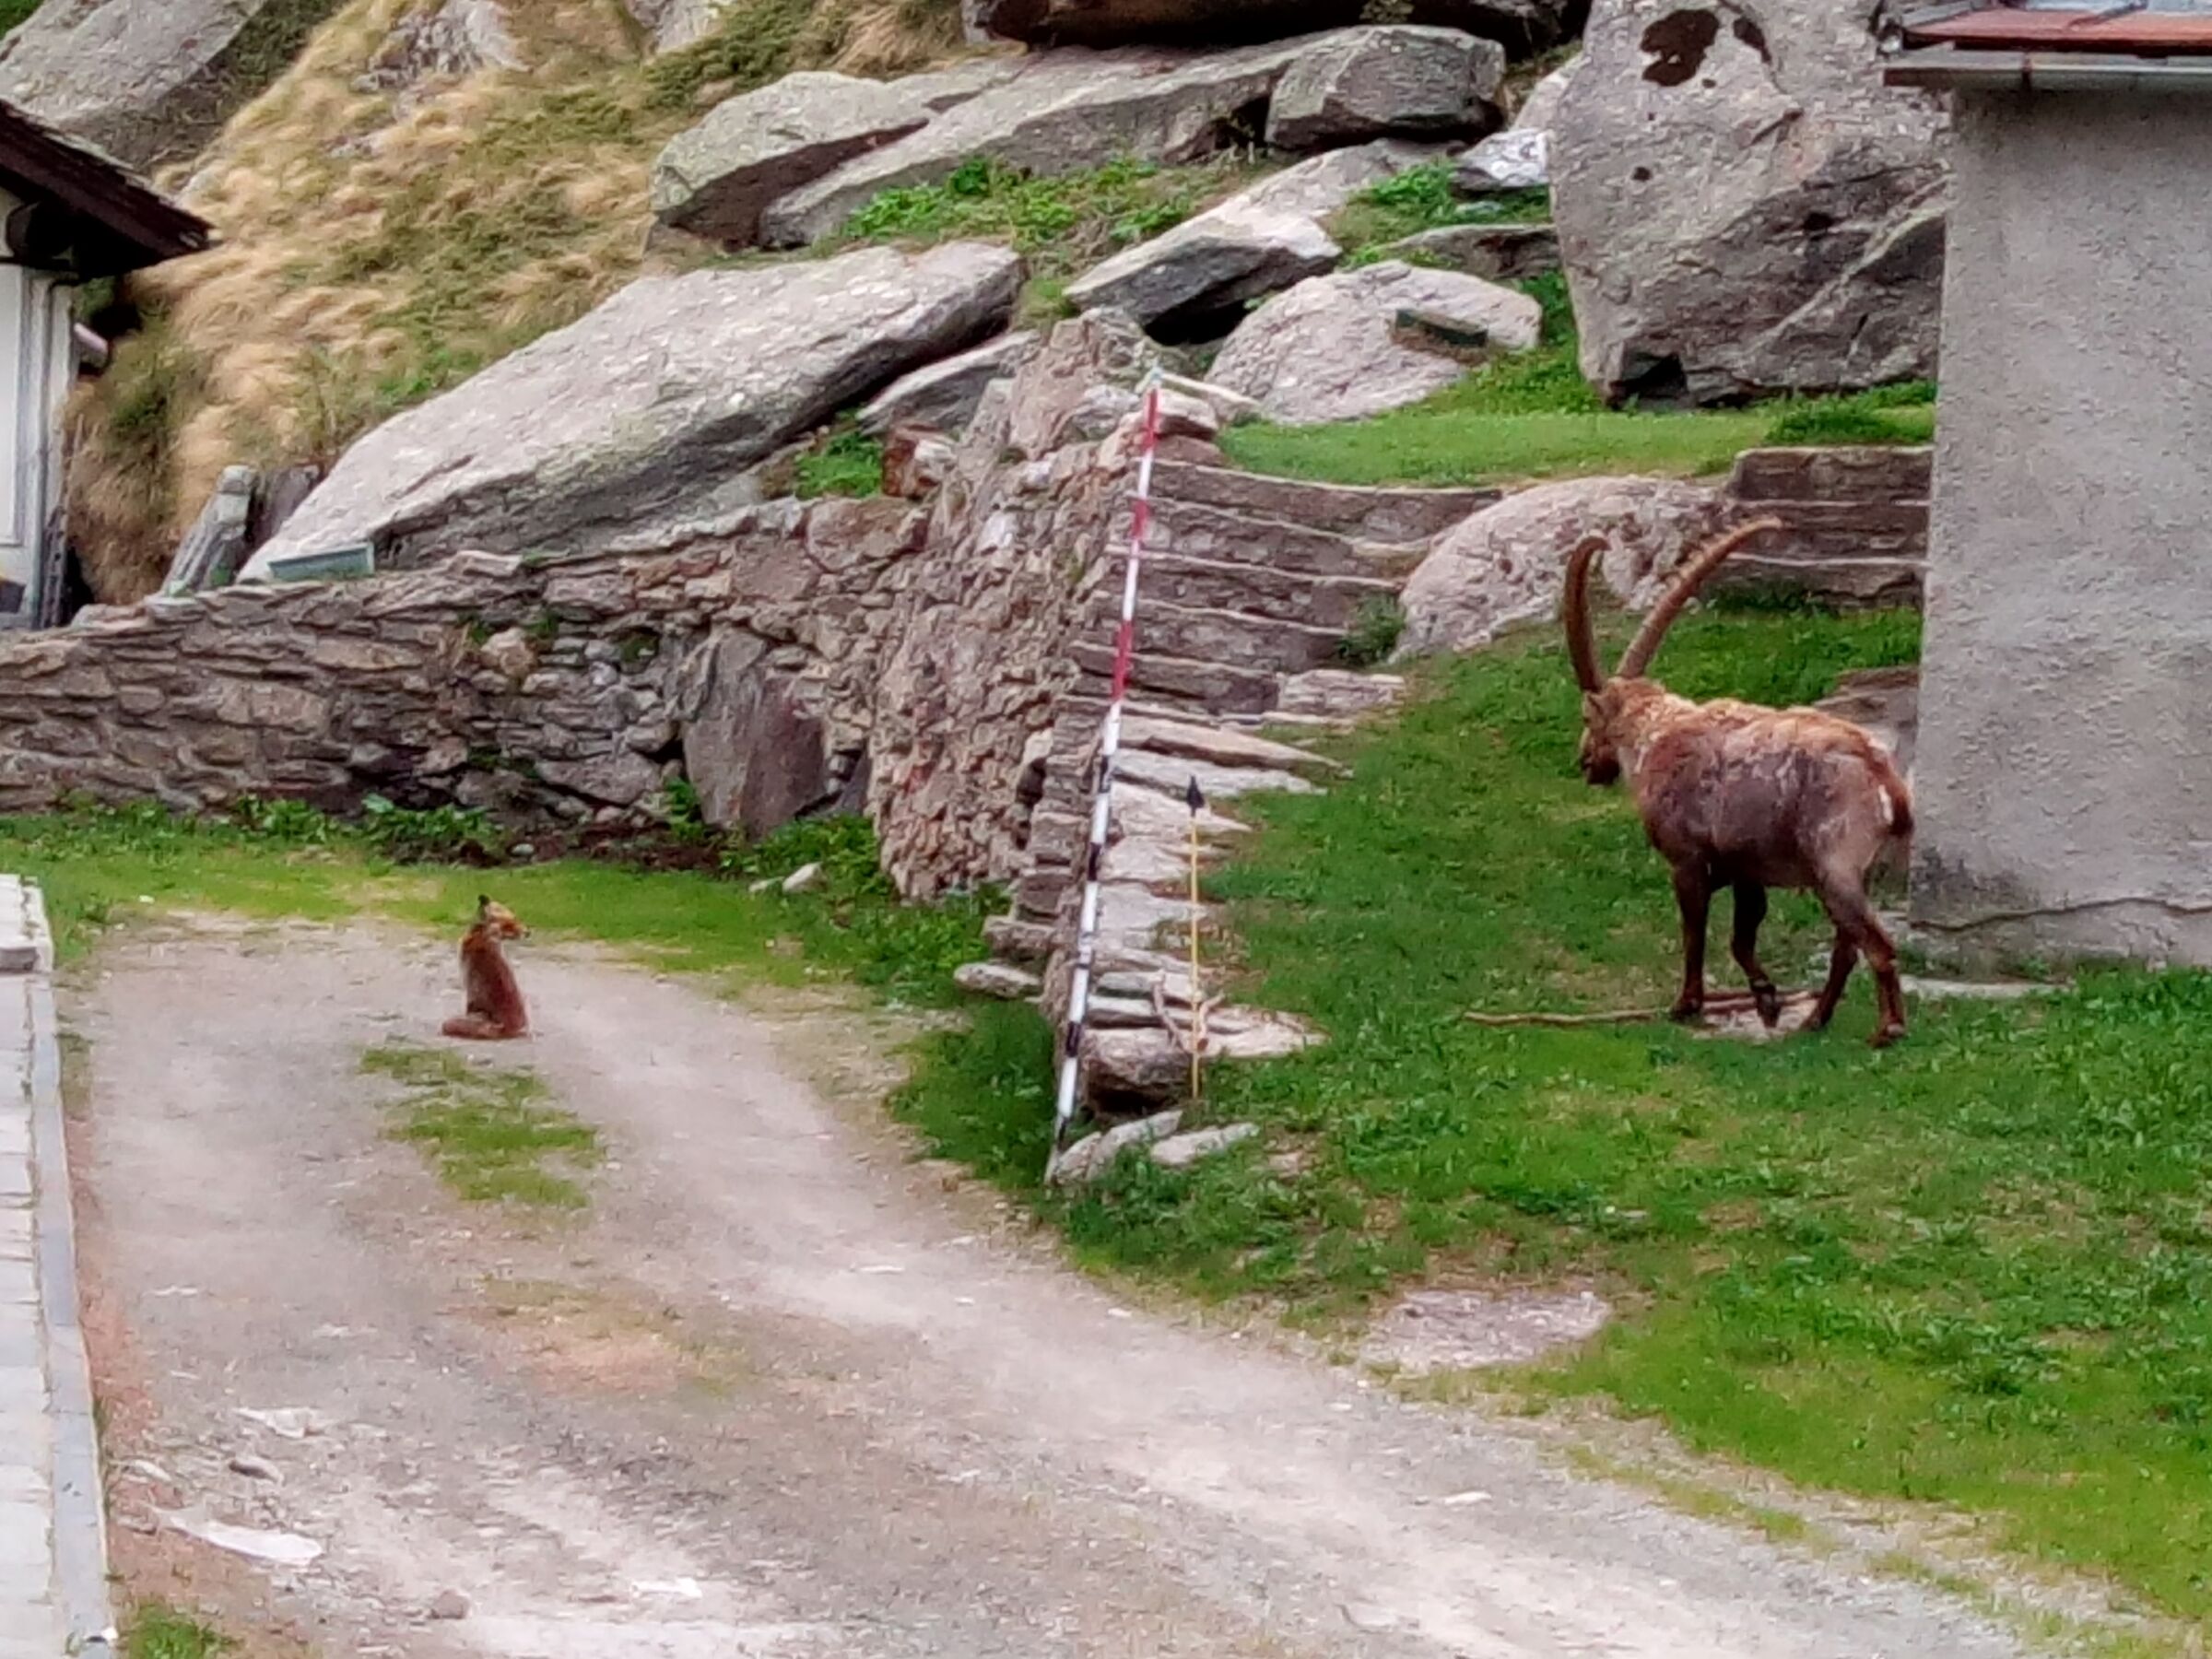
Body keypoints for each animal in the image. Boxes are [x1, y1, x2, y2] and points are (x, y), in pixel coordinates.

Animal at [441, 896, 529, 1041]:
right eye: (510, 922)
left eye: (514, 918)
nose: (528, 932)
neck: (481, 934)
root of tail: (510, 1029)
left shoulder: (470, 987)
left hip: (457, 1022)